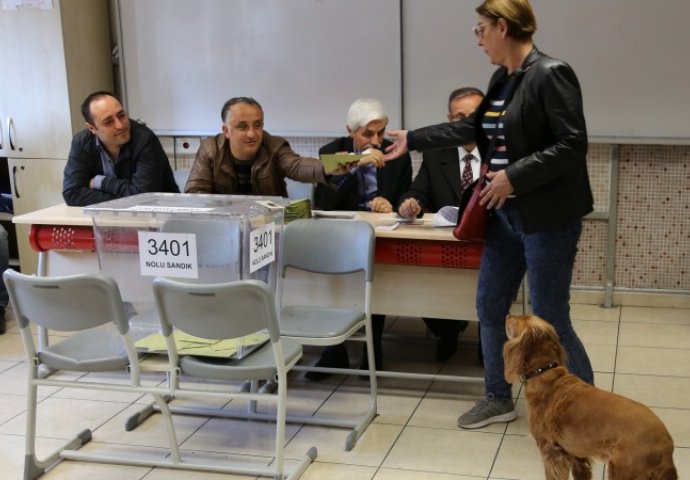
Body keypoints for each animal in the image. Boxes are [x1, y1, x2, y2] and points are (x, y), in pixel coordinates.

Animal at [502, 316, 676, 480]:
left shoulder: (551, 453)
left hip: (623, 470)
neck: (545, 374)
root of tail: (666, 444)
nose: (508, 315)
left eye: (520, 318)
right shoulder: (575, 453)